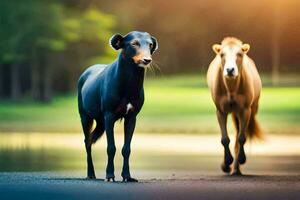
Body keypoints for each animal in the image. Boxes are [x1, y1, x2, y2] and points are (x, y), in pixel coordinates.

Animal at [206, 37, 262, 175]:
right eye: (222, 54)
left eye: (240, 54)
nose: (230, 70)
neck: (231, 88)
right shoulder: (220, 111)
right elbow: (225, 138)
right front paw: (226, 163)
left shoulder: (245, 111)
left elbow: (241, 137)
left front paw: (241, 159)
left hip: (250, 110)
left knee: (238, 135)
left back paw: (236, 169)